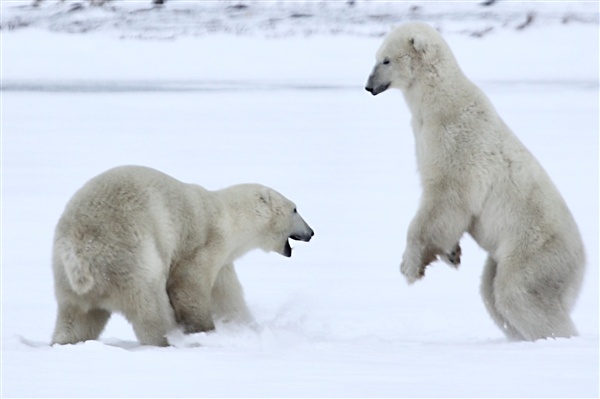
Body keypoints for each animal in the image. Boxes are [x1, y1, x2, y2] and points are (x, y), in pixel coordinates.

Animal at [51, 166, 314, 346]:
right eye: (295, 209)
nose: (311, 232)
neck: (227, 218)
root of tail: (77, 249)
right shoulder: (204, 244)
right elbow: (188, 286)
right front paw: (205, 330)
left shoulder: (223, 262)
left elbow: (227, 296)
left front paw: (246, 326)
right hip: (131, 254)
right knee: (151, 305)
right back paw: (171, 340)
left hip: (70, 282)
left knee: (77, 318)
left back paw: (64, 342)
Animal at [366, 21, 584, 340]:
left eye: (385, 60)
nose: (369, 86)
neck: (441, 101)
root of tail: (583, 264)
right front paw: (451, 253)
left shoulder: (456, 143)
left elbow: (444, 200)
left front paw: (409, 266)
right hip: (505, 256)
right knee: (492, 293)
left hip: (535, 250)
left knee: (519, 294)